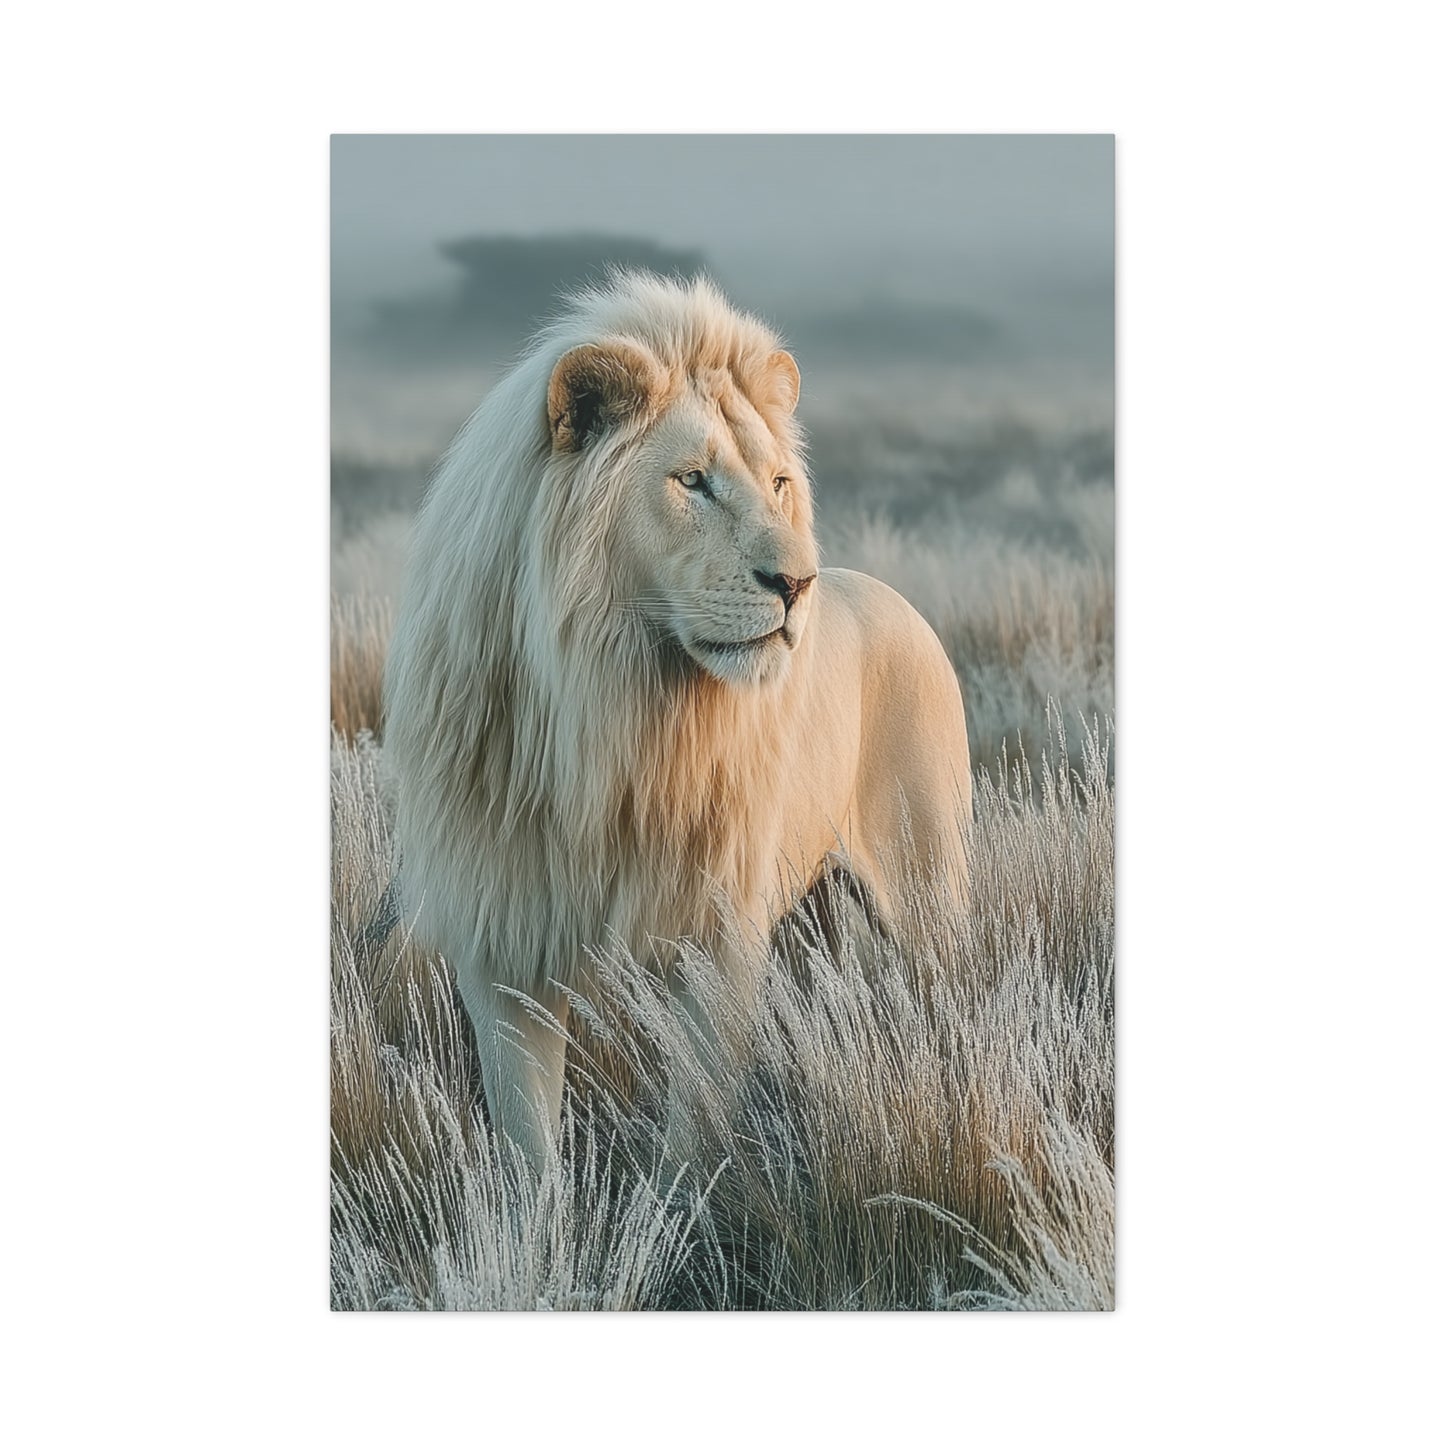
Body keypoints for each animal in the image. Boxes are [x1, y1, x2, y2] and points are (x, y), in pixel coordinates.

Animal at [383, 272, 971, 1175]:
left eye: (778, 484)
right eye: (692, 480)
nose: (796, 584)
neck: (610, 706)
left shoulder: (713, 935)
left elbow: (692, 1133)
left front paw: (674, 1209)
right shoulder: (503, 935)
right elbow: (527, 1148)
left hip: (928, 891)